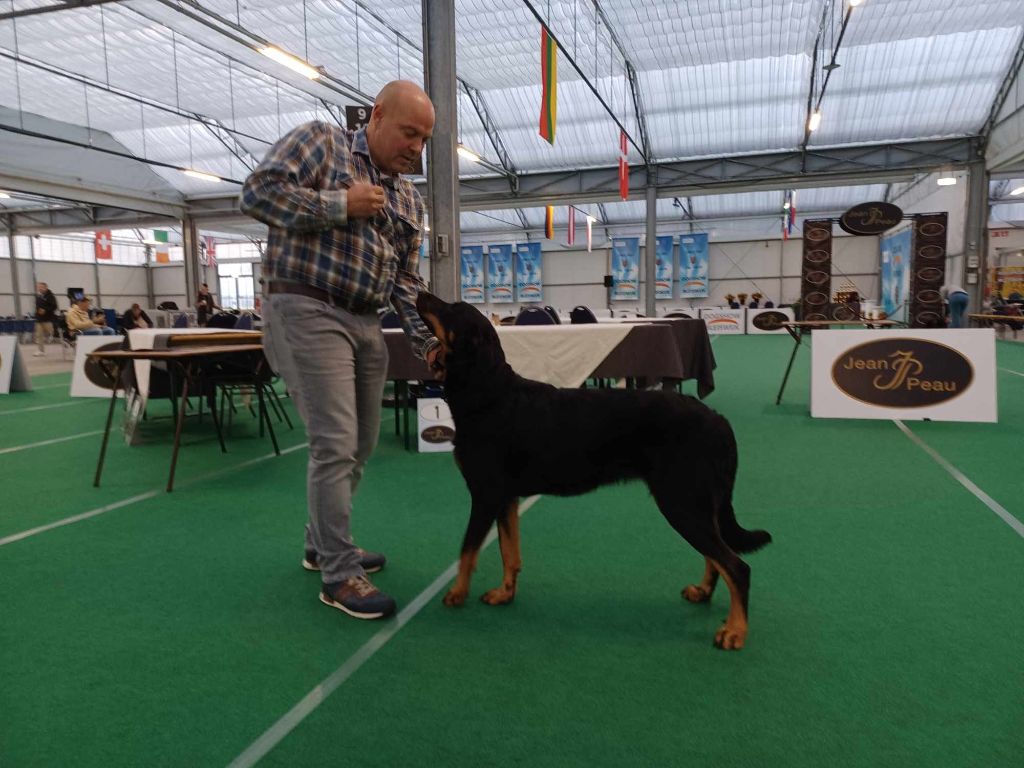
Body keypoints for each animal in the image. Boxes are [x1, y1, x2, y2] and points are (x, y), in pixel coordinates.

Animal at [415, 292, 770, 651]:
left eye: (453, 308)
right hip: (694, 504)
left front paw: (457, 593)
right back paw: (704, 593)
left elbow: (468, 550)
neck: (488, 393)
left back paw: (735, 631)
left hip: (682, 502)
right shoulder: (506, 498)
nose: (420, 293)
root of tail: (718, 420)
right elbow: (509, 552)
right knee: (717, 557)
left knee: (737, 566)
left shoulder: (485, 495)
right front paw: (505, 593)